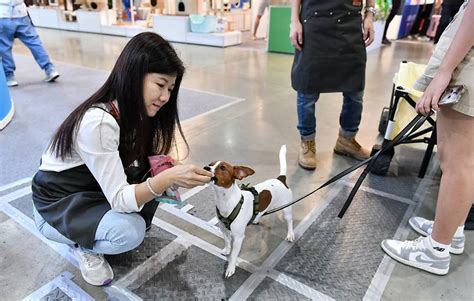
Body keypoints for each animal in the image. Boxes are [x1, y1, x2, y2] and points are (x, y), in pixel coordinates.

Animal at [205, 145, 294, 276]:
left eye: (222, 168)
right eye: (210, 164)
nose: (205, 167)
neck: (226, 200)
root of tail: (280, 179)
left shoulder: (238, 237)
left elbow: (234, 255)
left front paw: (230, 268)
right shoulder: (223, 229)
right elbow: (227, 241)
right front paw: (227, 250)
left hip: (286, 209)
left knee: (289, 221)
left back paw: (290, 234)